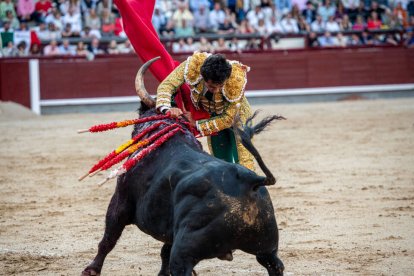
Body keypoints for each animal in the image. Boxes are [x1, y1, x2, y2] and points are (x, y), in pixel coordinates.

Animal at [82, 58, 286, 276]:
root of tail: (251, 182)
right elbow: (164, 251)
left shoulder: (120, 201)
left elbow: (108, 239)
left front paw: (91, 269)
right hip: (267, 248)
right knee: (275, 265)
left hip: (186, 249)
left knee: (178, 263)